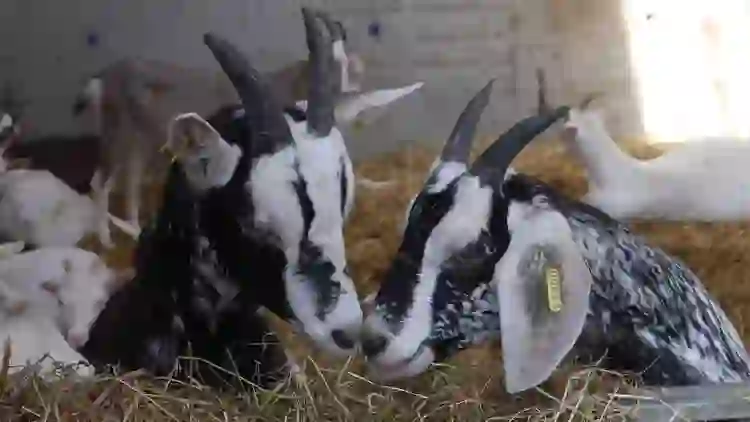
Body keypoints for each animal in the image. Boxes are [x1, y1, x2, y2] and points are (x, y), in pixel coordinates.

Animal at [72, 10, 365, 249]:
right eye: (332, 67)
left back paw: (133, 231)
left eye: (347, 64)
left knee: (130, 181)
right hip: (117, 133)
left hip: (138, 140)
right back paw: (106, 241)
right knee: (100, 182)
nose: (345, 98)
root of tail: (104, 77)